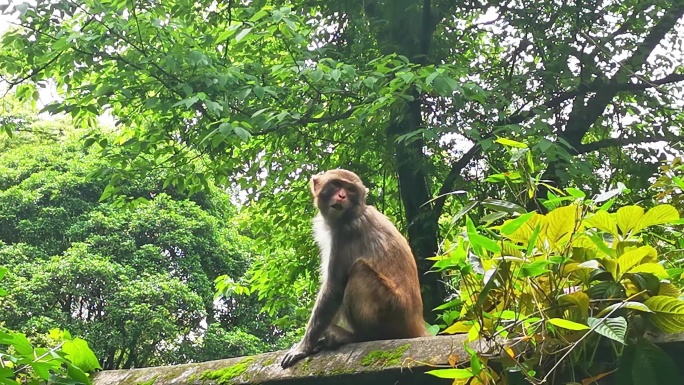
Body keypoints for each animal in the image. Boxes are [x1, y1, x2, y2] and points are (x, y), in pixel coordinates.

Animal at [280, 170, 428, 368]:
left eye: (350, 189)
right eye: (336, 185)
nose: (342, 196)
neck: (354, 213)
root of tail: (416, 322)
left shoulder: (346, 233)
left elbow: (334, 288)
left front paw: (303, 348)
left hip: (391, 312)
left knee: (359, 270)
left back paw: (357, 336)